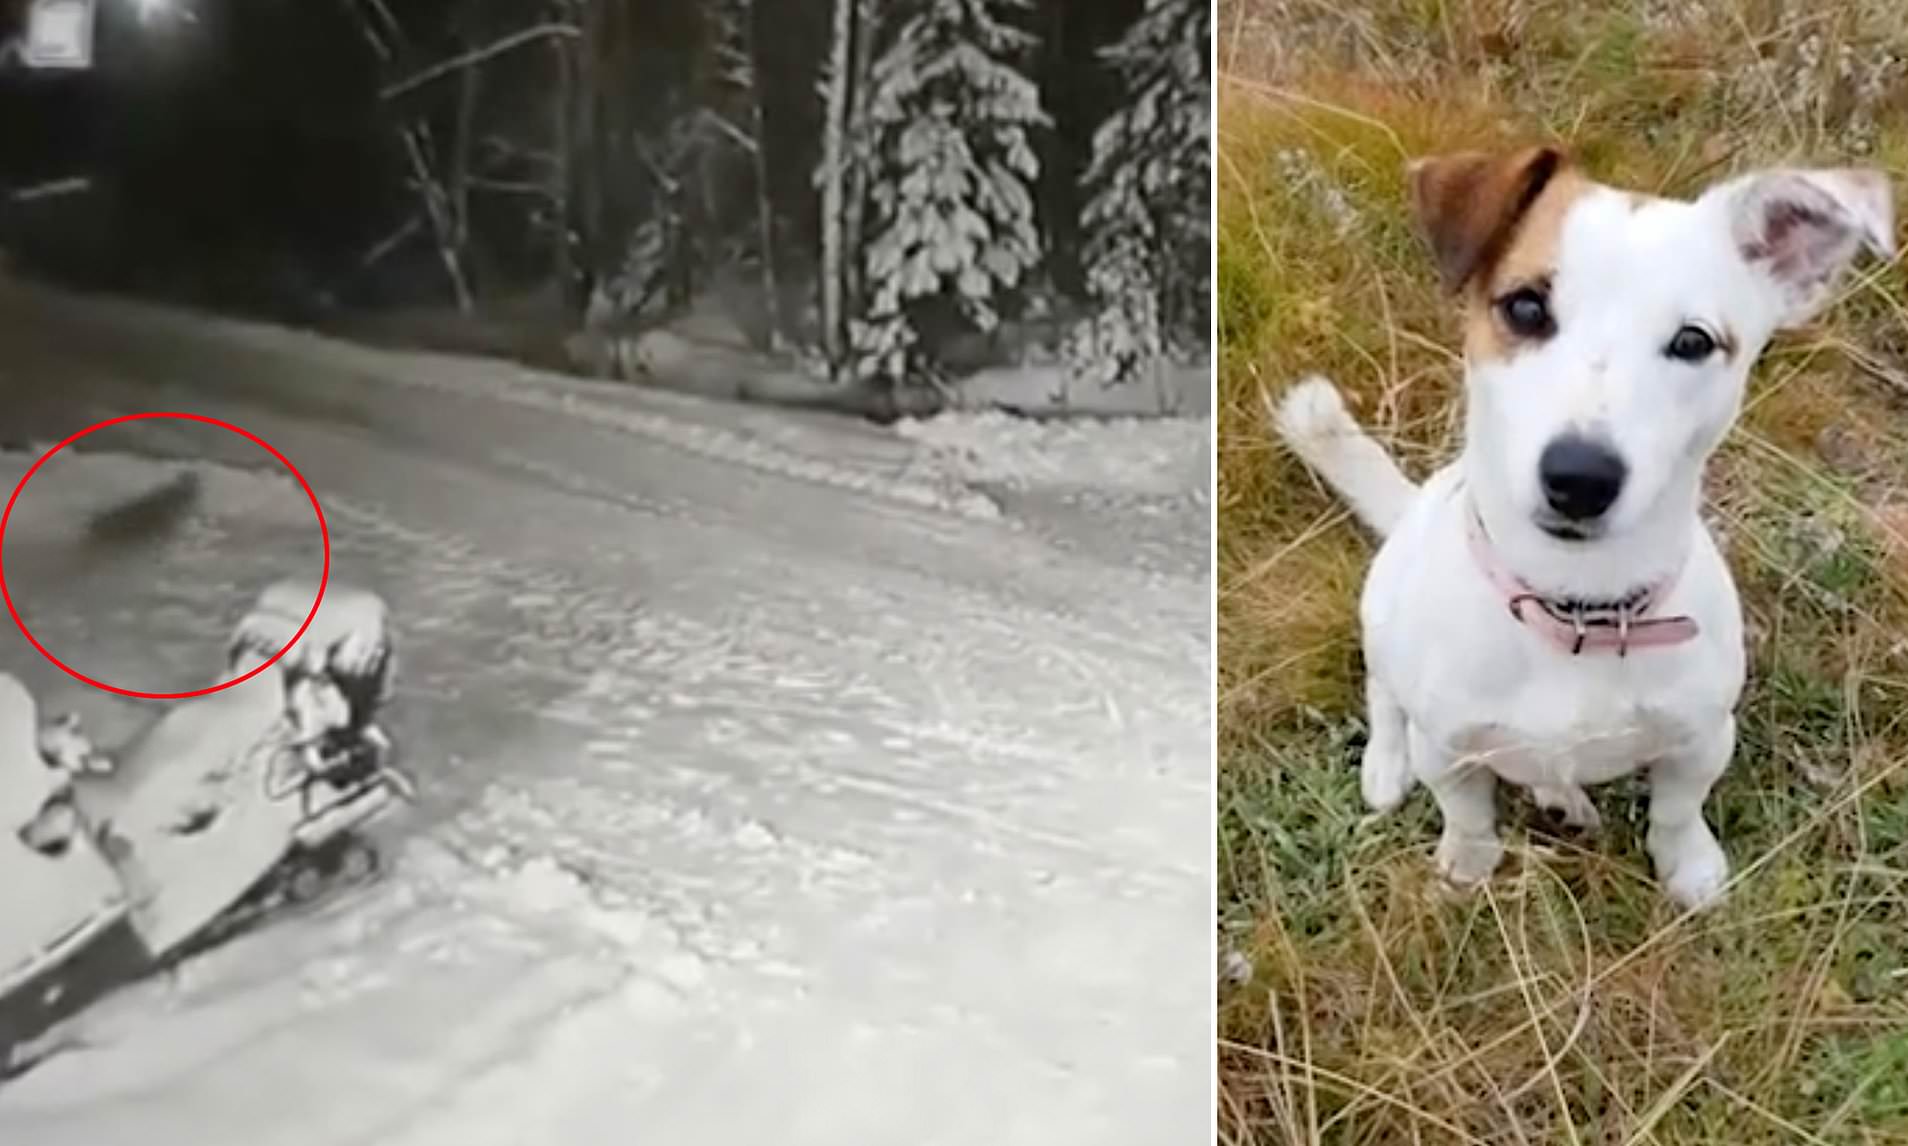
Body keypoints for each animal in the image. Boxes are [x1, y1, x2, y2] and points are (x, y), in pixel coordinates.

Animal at [1274, 147, 1885, 907]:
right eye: (1525, 307)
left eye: (1694, 341)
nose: (1580, 478)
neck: (1577, 609)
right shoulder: (1448, 747)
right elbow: (1466, 812)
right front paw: (1467, 866)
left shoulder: (1703, 738)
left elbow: (1678, 810)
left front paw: (1689, 868)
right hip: (1382, 617)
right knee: (1383, 691)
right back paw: (1389, 765)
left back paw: (1561, 797)